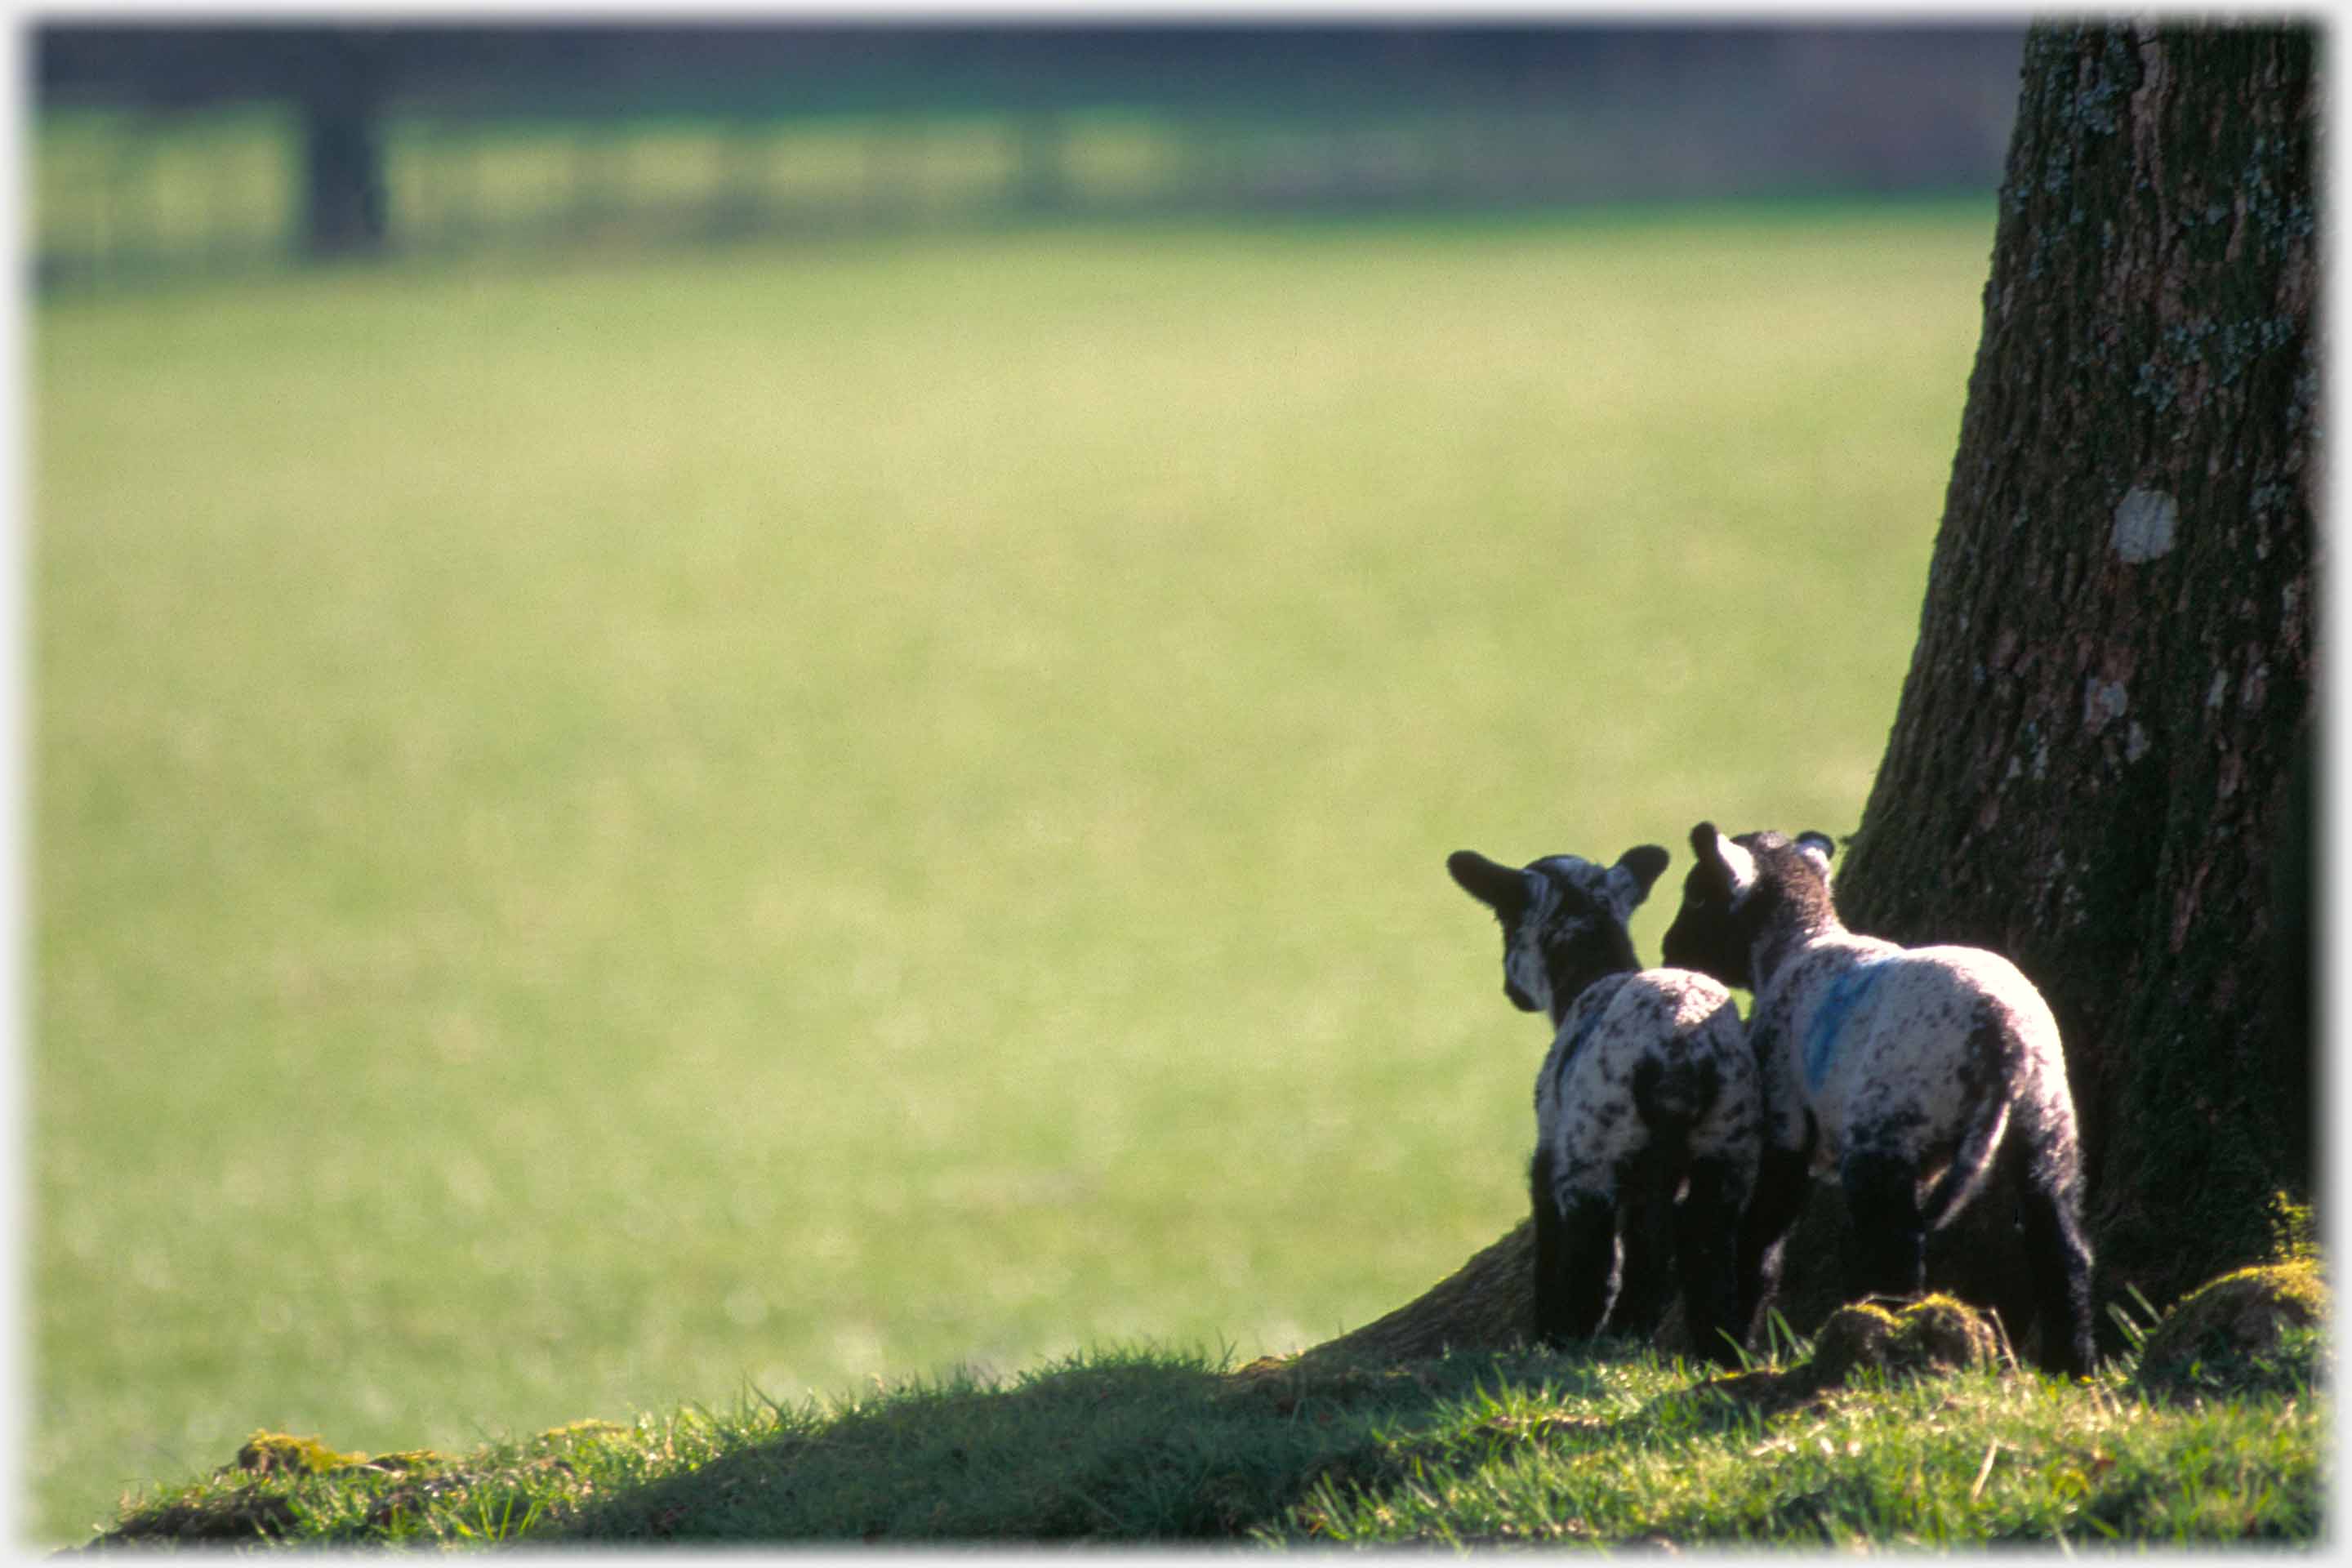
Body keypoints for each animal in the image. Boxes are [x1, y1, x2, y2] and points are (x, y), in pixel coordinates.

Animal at [1448, 843, 1761, 1366]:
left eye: (1506, 923)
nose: (1512, 994)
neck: (1591, 975)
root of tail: (1678, 1049)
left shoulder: (1552, 1155)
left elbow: (1561, 1250)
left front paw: (1550, 1337)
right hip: (1727, 1146)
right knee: (1701, 1248)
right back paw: (1717, 1352)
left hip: (1594, 1147)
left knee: (1596, 1260)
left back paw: (1581, 1342)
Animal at [1658, 822, 2095, 1376]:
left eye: (1697, 894)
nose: (1668, 948)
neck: (1797, 944)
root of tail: (2003, 1041)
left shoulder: (1784, 1121)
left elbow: (1761, 1239)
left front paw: (1738, 1340)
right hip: (2047, 1122)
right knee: (2060, 1244)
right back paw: (2072, 1366)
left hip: (1888, 1127)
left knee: (1898, 1248)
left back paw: (1892, 1340)